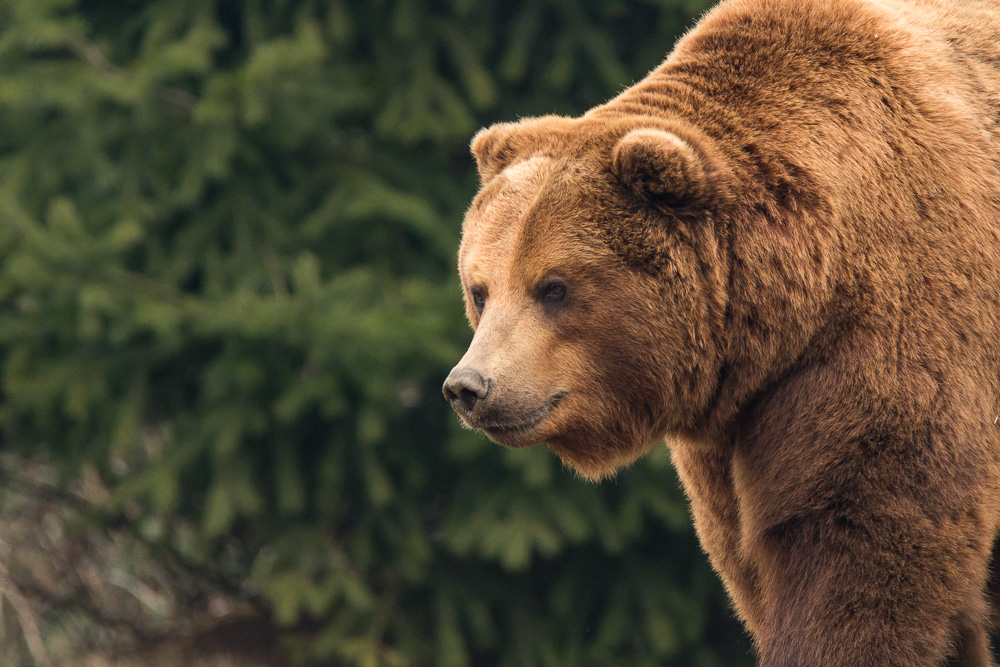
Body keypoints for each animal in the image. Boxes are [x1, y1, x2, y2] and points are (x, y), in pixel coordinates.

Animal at [446, 0, 1000, 664]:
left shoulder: (889, 329)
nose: (470, 387)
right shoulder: (730, 432)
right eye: (480, 289)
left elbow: (860, 537)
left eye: (553, 287)